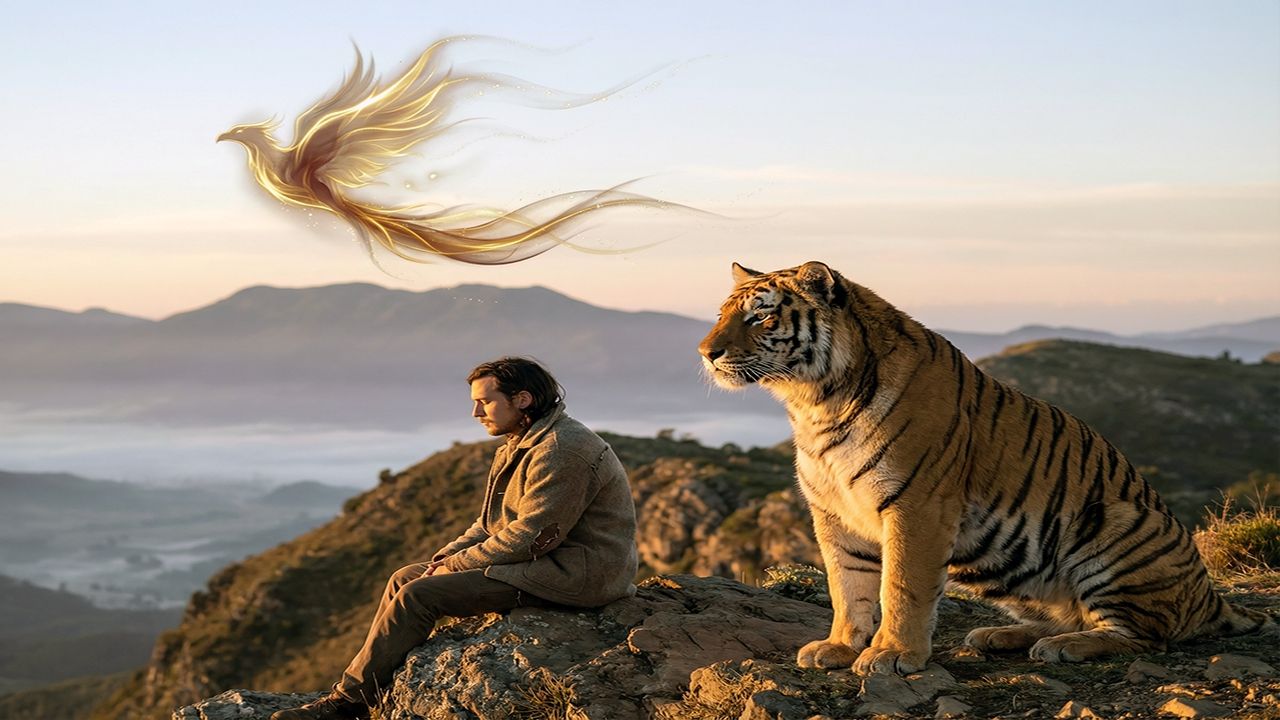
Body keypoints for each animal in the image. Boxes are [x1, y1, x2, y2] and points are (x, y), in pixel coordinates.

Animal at [697, 260, 1274, 676]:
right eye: (722, 314)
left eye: (761, 317)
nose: (706, 352)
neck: (815, 403)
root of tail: (1209, 595)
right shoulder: (833, 512)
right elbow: (848, 587)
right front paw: (838, 647)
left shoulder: (917, 506)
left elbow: (900, 587)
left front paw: (891, 655)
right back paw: (1001, 636)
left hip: (1118, 523)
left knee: (1142, 635)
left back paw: (1067, 646)